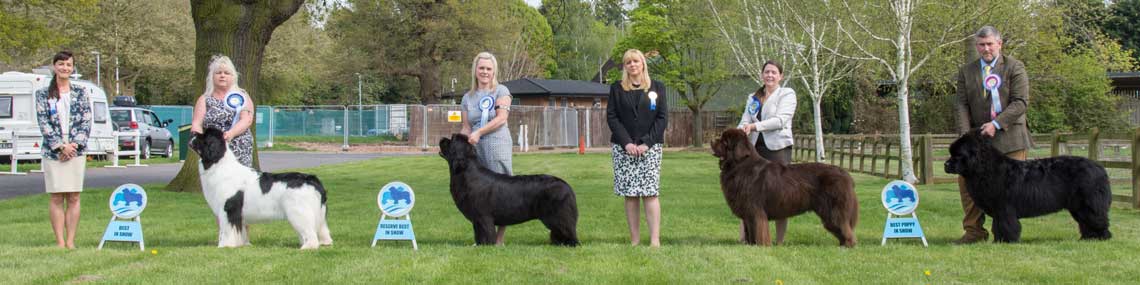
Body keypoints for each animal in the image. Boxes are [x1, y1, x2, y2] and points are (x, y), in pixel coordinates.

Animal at [191, 127, 332, 249]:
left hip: (299, 211)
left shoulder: (228, 210)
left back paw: (307, 247)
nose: (193, 132)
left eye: (203, 136)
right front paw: (242, 245)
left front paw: (225, 246)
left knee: (310, 234)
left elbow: (226, 230)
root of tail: (310, 179)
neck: (219, 164)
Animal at [435, 134, 579, 246]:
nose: (441, 138)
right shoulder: (477, 218)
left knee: (566, 228)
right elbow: (478, 233)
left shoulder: (483, 215)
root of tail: (566, 185)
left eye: (452, 139)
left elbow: (486, 232)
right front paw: (480, 245)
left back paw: (571, 244)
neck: (465, 171)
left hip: (558, 215)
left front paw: (487, 246)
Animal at [706, 129, 857, 247]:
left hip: (832, 209)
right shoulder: (747, 210)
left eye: (724, 141)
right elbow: (749, 228)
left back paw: (848, 245)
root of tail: (846, 174)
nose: (712, 140)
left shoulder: (754, 208)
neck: (739, 165)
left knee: (843, 226)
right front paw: (750, 244)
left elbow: (757, 227)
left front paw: (761, 245)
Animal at [943, 130, 1112, 241]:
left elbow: (1006, 224)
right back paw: (1087, 238)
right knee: (1086, 221)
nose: (946, 164)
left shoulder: (1004, 207)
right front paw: (998, 241)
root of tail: (1099, 168)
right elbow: (997, 225)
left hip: (1088, 203)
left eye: (958, 155)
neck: (985, 169)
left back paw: (1101, 237)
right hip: (1078, 207)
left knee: (1096, 218)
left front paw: (1007, 241)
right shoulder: (998, 209)